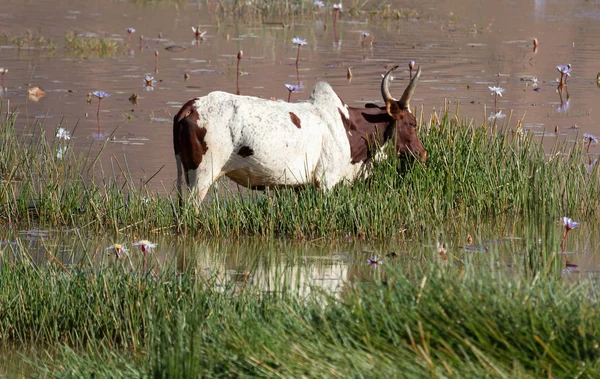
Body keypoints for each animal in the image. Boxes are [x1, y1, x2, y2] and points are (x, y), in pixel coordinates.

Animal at [173, 63, 426, 203]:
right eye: (412, 123)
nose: (422, 154)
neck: (348, 127)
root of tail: (192, 106)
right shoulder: (326, 181)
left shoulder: (302, 187)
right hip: (201, 177)